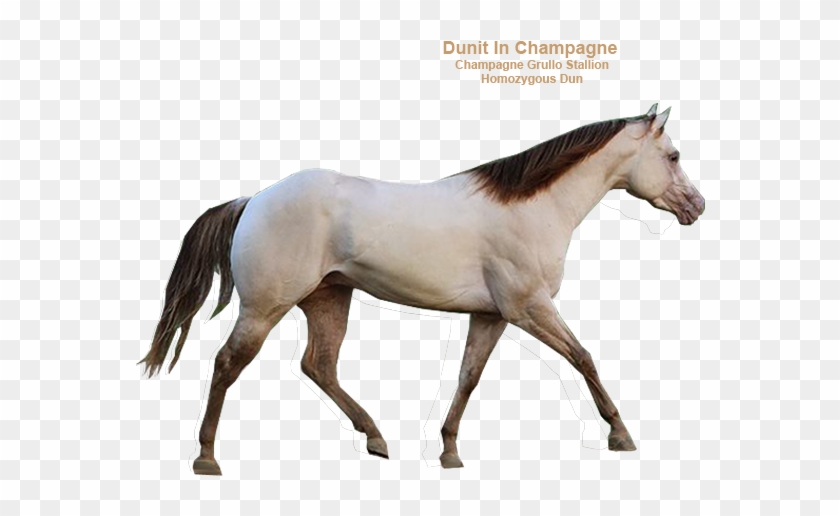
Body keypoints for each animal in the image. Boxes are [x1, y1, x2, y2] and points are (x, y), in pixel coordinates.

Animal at [139, 104, 705, 475]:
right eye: (675, 155)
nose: (696, 207)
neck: (532, 208)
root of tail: (252, 200)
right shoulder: (528, 308)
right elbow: (584, 357)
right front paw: (621, 436)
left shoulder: (492, 315)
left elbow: (468, 378)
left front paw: (449, 451)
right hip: (265, 306)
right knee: (227, 364)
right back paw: (206, 458)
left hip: (328, 298)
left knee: (318, 366)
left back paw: (376, 439)